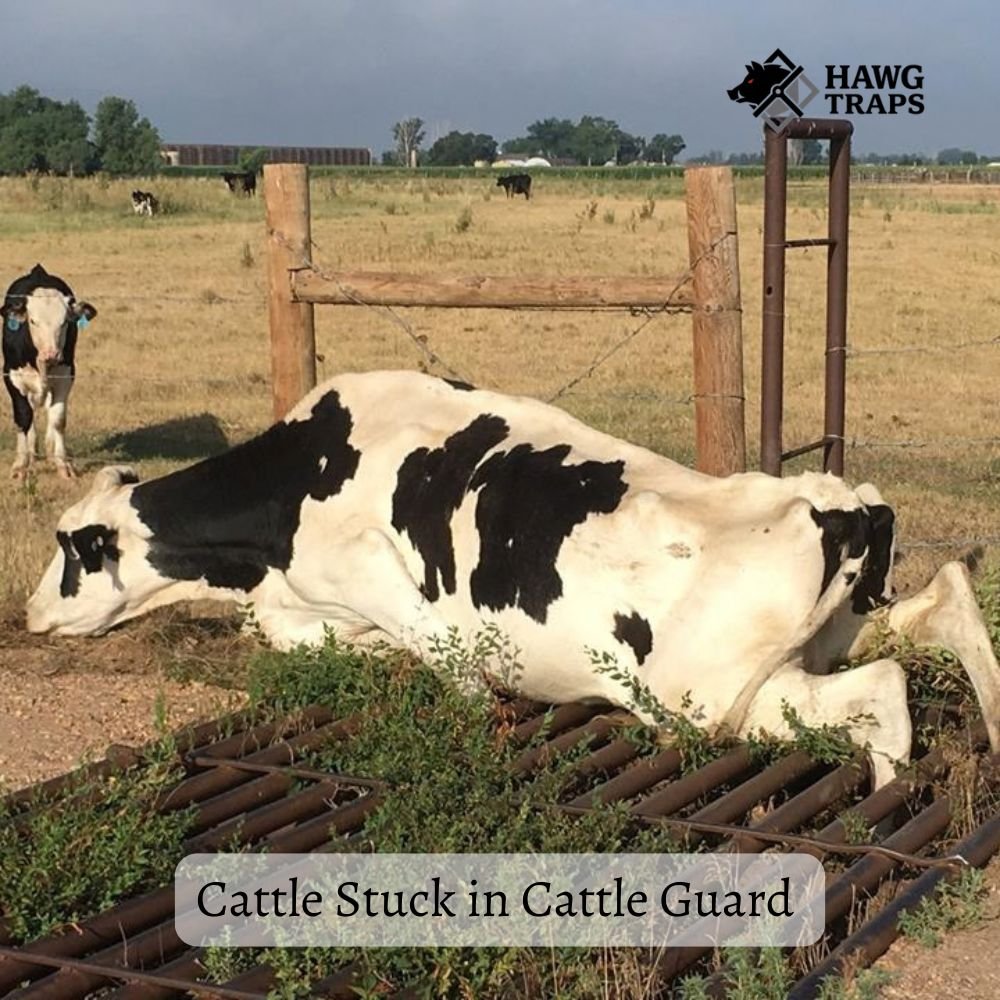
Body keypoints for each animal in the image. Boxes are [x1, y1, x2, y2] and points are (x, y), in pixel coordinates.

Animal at [2, 265, 96, 480]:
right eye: (33, 321)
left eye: (64, 322)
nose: (51, 354)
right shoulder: (12, 378)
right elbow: (23, 418)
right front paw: (21, 464)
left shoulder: (65, 376)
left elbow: (58, 419)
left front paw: (62, 463)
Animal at [25, 371, 1000, 787]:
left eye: (73, 549)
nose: (29, 613)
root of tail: (829, 499)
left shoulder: (394, 597)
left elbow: (454, 676)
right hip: (832, 634)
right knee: (944, 607)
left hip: (711, 699)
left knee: (886, 694)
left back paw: (883, 793)